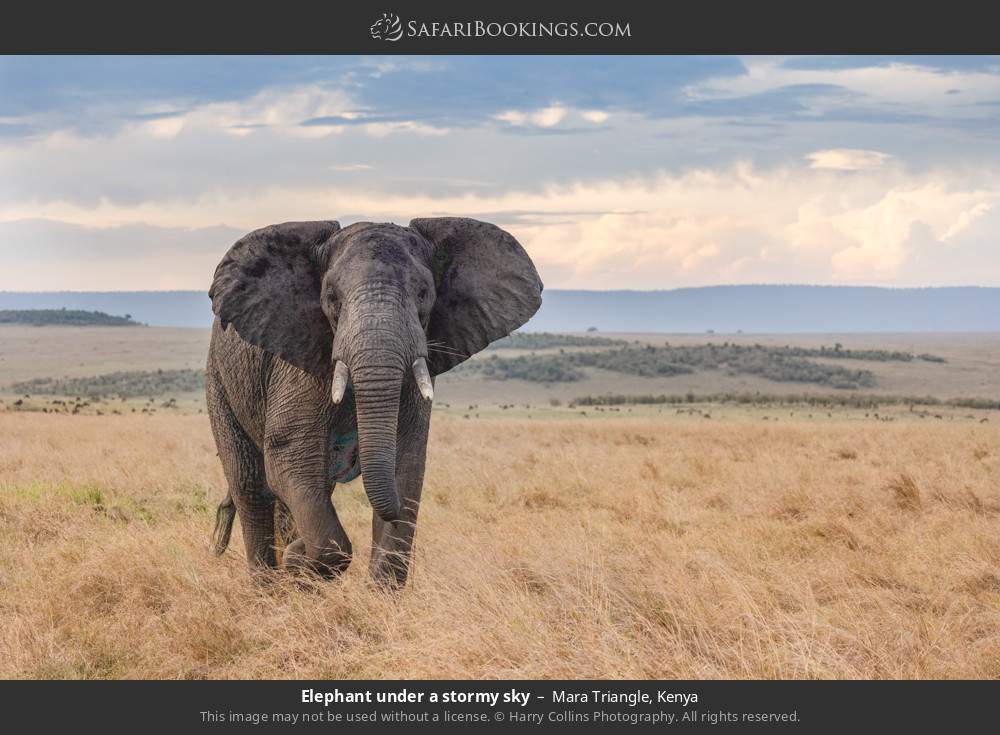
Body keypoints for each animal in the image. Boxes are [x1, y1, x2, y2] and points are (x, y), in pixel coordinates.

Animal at [206, 218, 543, 587]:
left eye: (424, 294)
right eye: (331, 297)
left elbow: (407, 462)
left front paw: (376, 594)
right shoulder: (299, 361)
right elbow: (289, 456)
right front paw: (299, 562)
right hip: (220, 380)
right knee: (252, 486)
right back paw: (269, 588)